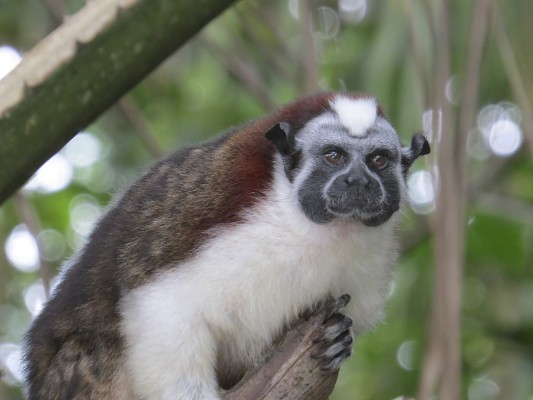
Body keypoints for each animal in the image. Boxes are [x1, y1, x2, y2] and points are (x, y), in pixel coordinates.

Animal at [23, 92, 428, 398]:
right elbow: (165, 307)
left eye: (378, 160)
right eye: (334, 156)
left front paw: (336, 339)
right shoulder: (230, 226)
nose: (359, 181)